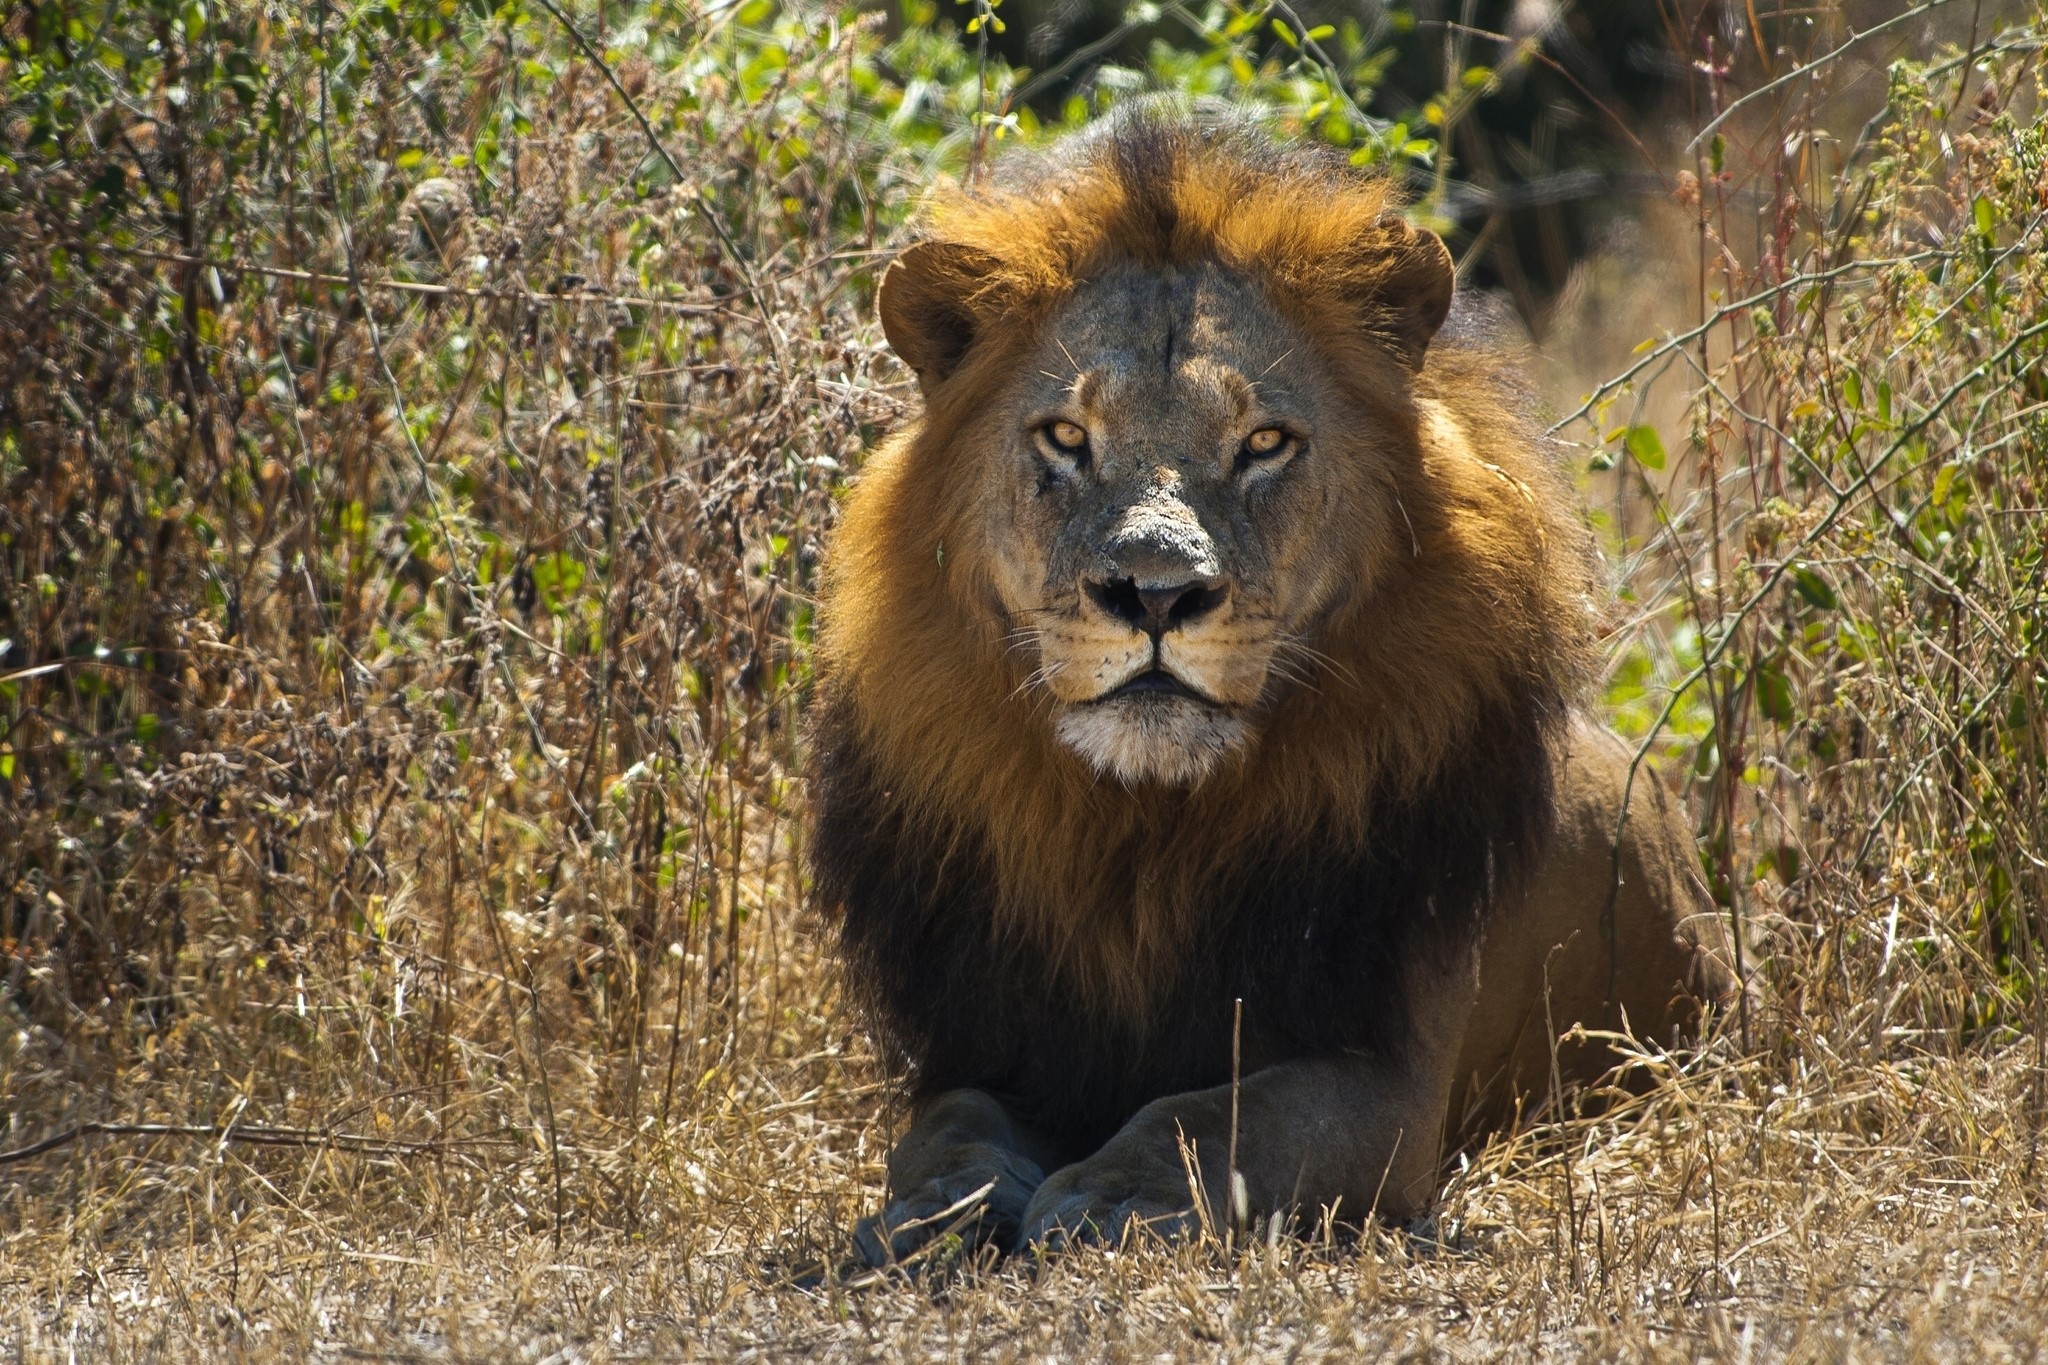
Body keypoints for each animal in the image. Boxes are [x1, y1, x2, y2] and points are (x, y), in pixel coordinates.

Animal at [808, 104, 1735, 1262]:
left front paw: (1107, 1196)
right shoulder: (988, 1043)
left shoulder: (1386, 1080)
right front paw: (933, 1210)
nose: (1155, 593)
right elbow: (947, 1130)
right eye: (1065, 437)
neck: (1137, 834)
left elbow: (1218, 1115)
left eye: (1262, 443)